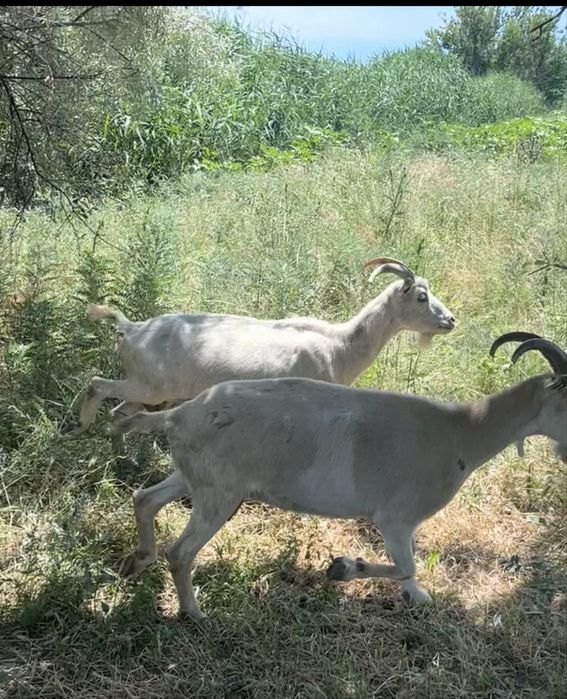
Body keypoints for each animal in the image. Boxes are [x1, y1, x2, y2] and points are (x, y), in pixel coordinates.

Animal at [116, 335, 567, 619]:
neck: (461, 430)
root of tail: (177, 414)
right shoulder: (396, 517)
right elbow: (405, 564)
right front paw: (343, 568)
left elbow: (410, 572)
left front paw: (418, 596)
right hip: (219, 493)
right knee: (181, 551)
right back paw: (193, 613)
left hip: (193, 475)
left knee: (145, 498)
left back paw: (136, 561)